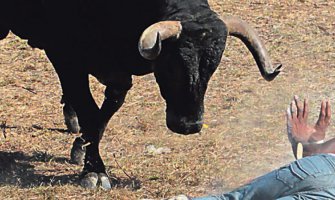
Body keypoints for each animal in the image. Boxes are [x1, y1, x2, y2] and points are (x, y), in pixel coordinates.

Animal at [0, 0, 282, 188]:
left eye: (212, 67)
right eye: (172, 64)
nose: (189, 125)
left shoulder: (117, 76)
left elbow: (103, 115)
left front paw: (81, 148)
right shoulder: (64, 56)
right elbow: (89, 110)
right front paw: (94, 171)